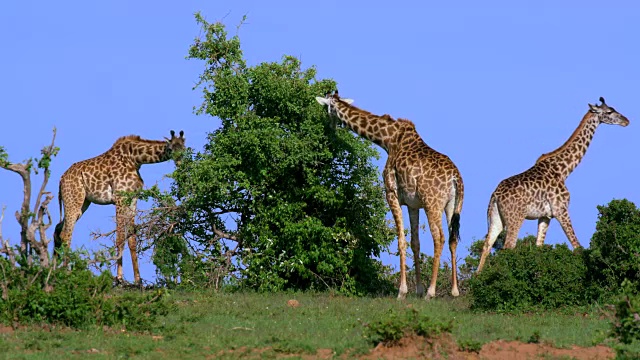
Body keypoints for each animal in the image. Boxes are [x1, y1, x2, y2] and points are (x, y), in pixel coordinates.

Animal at [54, 129, 186, 284]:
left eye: (184, 148)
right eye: (170, 149)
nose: (180, 163)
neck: (136, 159)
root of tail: (61, 179)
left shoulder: (133, 199)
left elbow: (132, 238)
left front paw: (138, 280)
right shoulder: (120, 198)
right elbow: (120, 238)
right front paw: (119, 278)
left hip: (82, 203)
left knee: (58, 229)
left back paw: (52, 268)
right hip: (74, 200)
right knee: (66, 234)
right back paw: (65, 271)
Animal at [316, 90, 462, 300]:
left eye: (327, 108)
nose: (330, 127)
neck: (387, 140)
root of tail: (456, 178)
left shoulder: (391, 194)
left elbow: (401, 241)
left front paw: (402, 292)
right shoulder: (412, 204)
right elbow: (415, 243)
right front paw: (417, 290)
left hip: (432, 204)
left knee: (439, 238)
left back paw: (431, 292)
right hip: (453, 206)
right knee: (452, 239)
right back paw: (454, 291)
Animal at [478, 98, 628, 272]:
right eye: (609, 111)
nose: (626, 121)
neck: (564, 170)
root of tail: (495, 195)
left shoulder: (545, 216)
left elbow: (539, 247)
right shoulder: (561, 210)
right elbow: (577, 246)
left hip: (496, 218)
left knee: (487, 245)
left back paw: (478, 277)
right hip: (515, 218)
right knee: (508, 246)